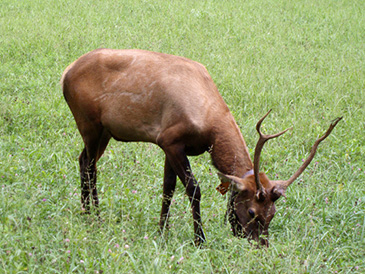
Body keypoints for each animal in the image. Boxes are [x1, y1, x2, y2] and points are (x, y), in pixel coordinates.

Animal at [60, 48, 342, 246]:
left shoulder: (168, 145)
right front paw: (199, 239)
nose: (261, 244)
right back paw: (95, 214)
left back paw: (87, 210)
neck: (210, 130)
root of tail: (66, 72)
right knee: (91, 166)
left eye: (272, 214)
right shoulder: (171, 140)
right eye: (252, 211)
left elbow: (168, 189)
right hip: (89, 123)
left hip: (105, 131)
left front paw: (162, 230)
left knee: (83, 160)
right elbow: (193, 190)